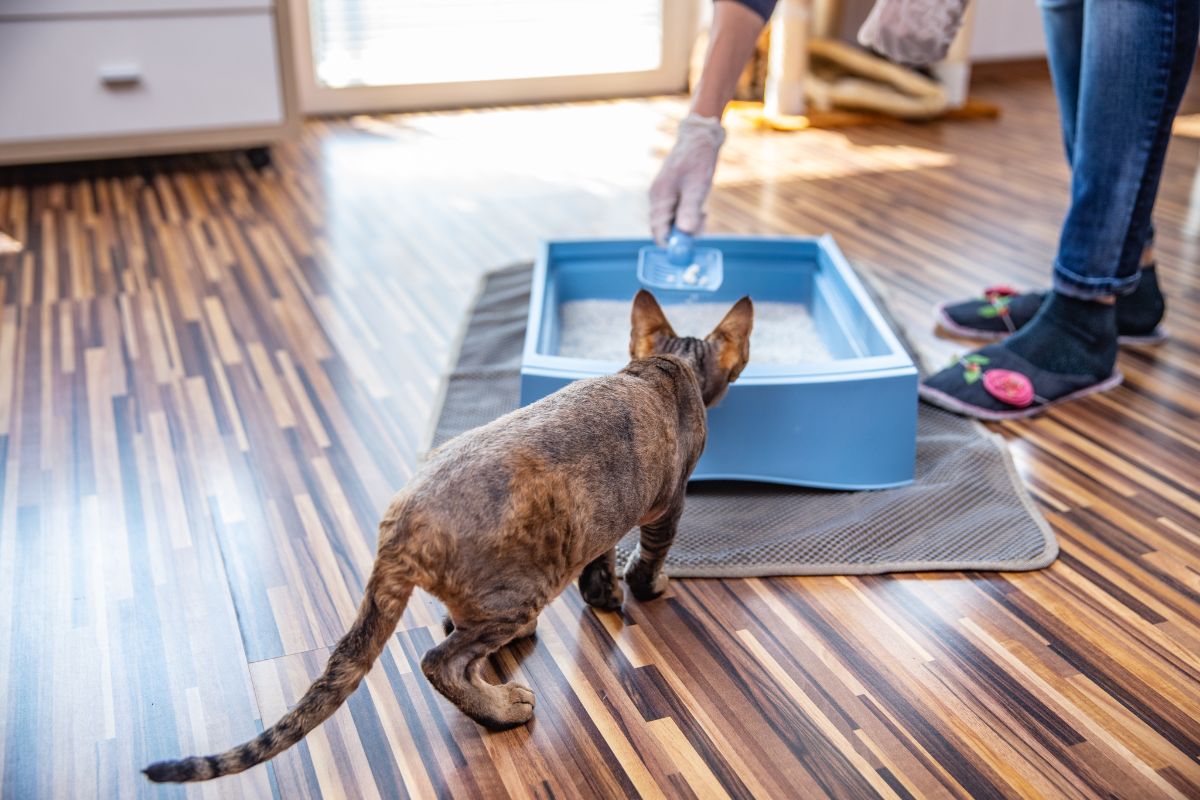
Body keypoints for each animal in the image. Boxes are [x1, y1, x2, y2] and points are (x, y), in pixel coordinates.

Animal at [142, 287, 748, 782]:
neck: (666, 364)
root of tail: (402, 525)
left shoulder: (608, 515)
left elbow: (601, 558)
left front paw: (603, 593)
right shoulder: (669, 502)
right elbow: (650, 554)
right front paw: (647, 587)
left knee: (456, 628)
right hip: (521, 589)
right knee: (440, 661)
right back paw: (502, 709)